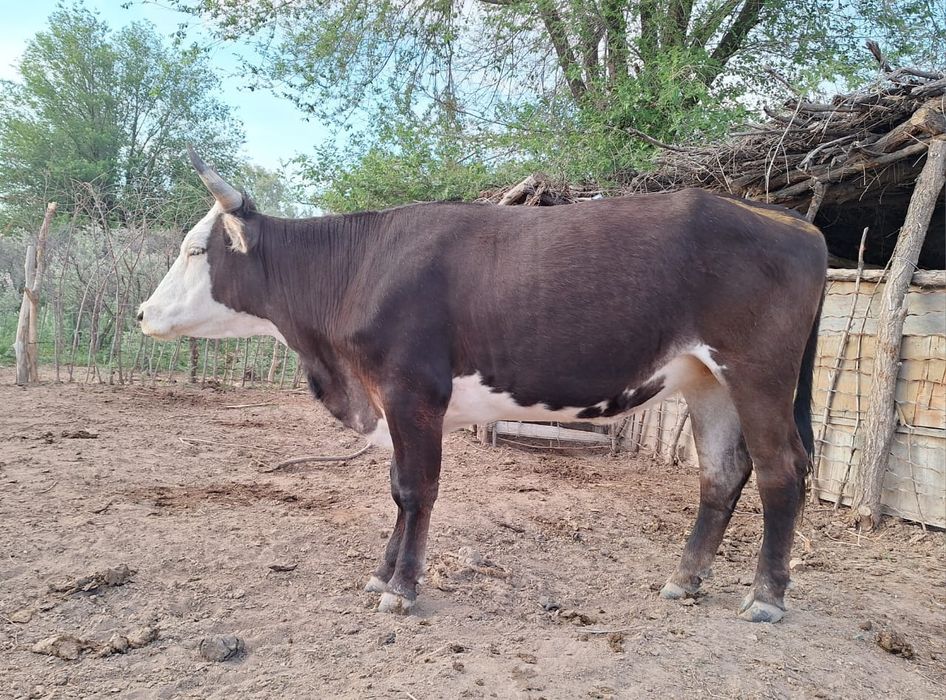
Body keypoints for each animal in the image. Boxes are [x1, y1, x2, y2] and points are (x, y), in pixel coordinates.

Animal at [139, 147, 827, 623]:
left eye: (196, 250)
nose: (143, 313)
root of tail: (788, 219)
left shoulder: (412, 392)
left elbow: (416, 490)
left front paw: (402, 590)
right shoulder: (392, 402)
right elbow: (397, 490)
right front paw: (382, 574)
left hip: (758, 372)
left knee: (780, 469)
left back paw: (766, 598)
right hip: (706, 379)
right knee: (721, 472)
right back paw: (685, 580)